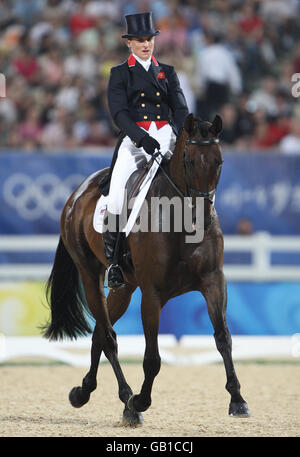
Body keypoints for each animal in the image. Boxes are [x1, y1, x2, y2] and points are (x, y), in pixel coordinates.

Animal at [44, 113, 251, 424]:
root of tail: (78, 193)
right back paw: (126, 401)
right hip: (90, 276)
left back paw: (85, 392)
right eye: (189, 160)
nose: (203, 217)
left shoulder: (213, 282)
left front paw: (237, 400)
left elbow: (223, 338)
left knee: (99, 334)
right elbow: (152, 357)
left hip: (125, 288)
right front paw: (141, 400)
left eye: (219, 161)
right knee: (108, 337)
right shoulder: (152, 294)